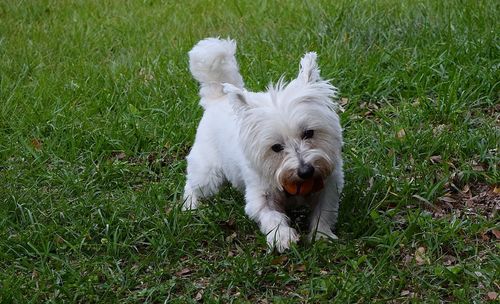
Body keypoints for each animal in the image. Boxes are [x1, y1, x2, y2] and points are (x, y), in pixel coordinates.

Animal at [184, 37, 344, 252]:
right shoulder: (260, 195)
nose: (305, 171)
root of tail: (217, 98)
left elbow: (324, 212)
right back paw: (190, 206)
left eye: (309, 133)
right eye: (276, 147)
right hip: (208, 170)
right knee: (193, 185)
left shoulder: (328, 186)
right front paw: (282, 236)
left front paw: (321, 236)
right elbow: (271, 215)